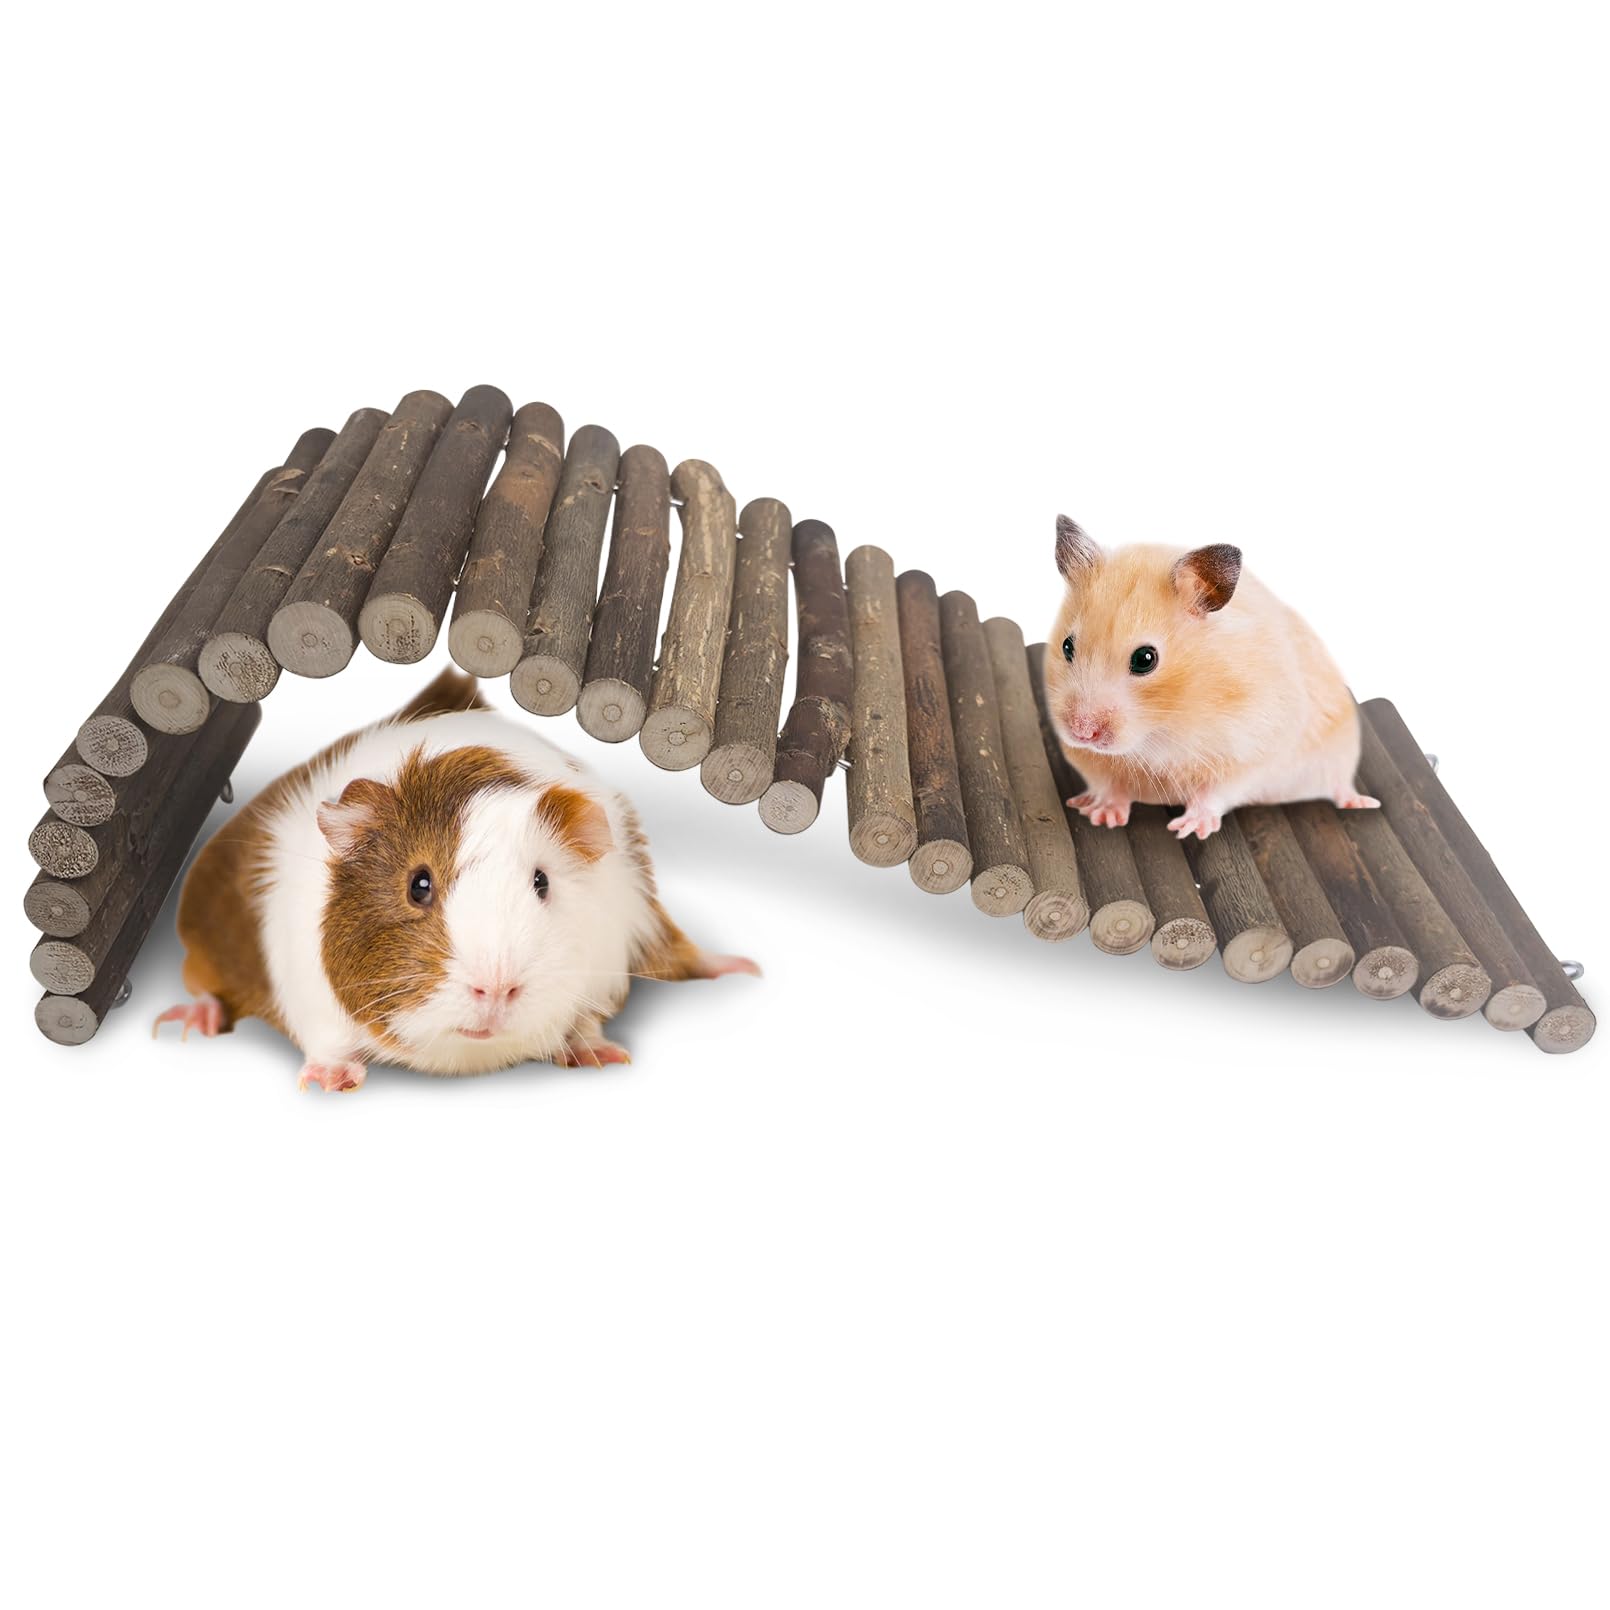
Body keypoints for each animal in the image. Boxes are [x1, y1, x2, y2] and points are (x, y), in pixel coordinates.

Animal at [154, 669, 757, 1091]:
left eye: (542, 883)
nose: (495, 988)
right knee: (201, 983)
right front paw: (329, 1082)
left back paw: (740, 968)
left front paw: (600, 1055)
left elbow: (586, 1018)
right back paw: (184, 1024)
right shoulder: (303, 986)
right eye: (418, 885)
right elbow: (325, 1039)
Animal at [1043, 515, 1378, 839]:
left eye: (1145, 659)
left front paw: (1189, 828)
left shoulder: (1254, 746)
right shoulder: (1090, 760)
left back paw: (1363, 803)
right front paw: (1102, 817)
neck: (1161, 728)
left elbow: (1214, 792)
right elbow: (1108, 783)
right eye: (1067, 646)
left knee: (1340, 785)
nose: (1082, 733)